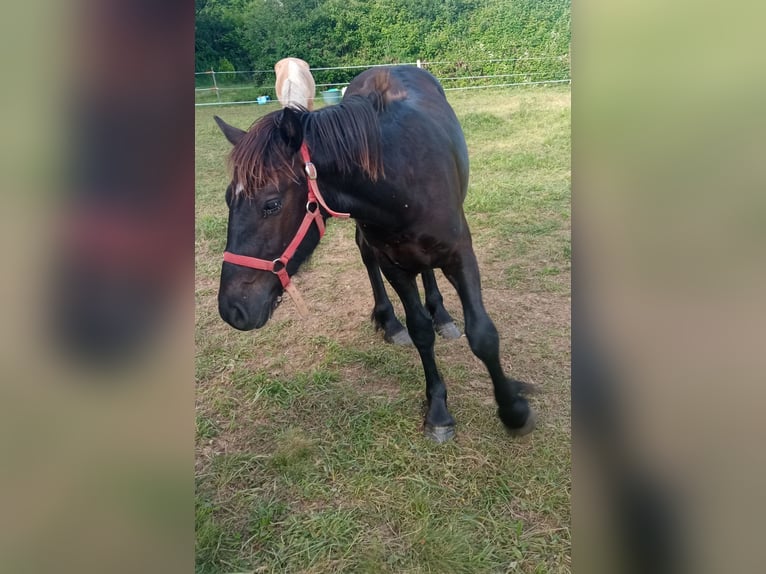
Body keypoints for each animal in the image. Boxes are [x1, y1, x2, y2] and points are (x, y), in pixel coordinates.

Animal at [214, 65, 536, 444]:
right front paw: (438, 411)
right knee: (369, 256)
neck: (401, 178)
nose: (233, 309)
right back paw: (389, 321)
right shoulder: (391, 263)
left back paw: (442, 314)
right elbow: (419, 331)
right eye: (228, 199)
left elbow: (483, 334)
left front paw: (514, 411)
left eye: (271, 204)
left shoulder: (460, 254)